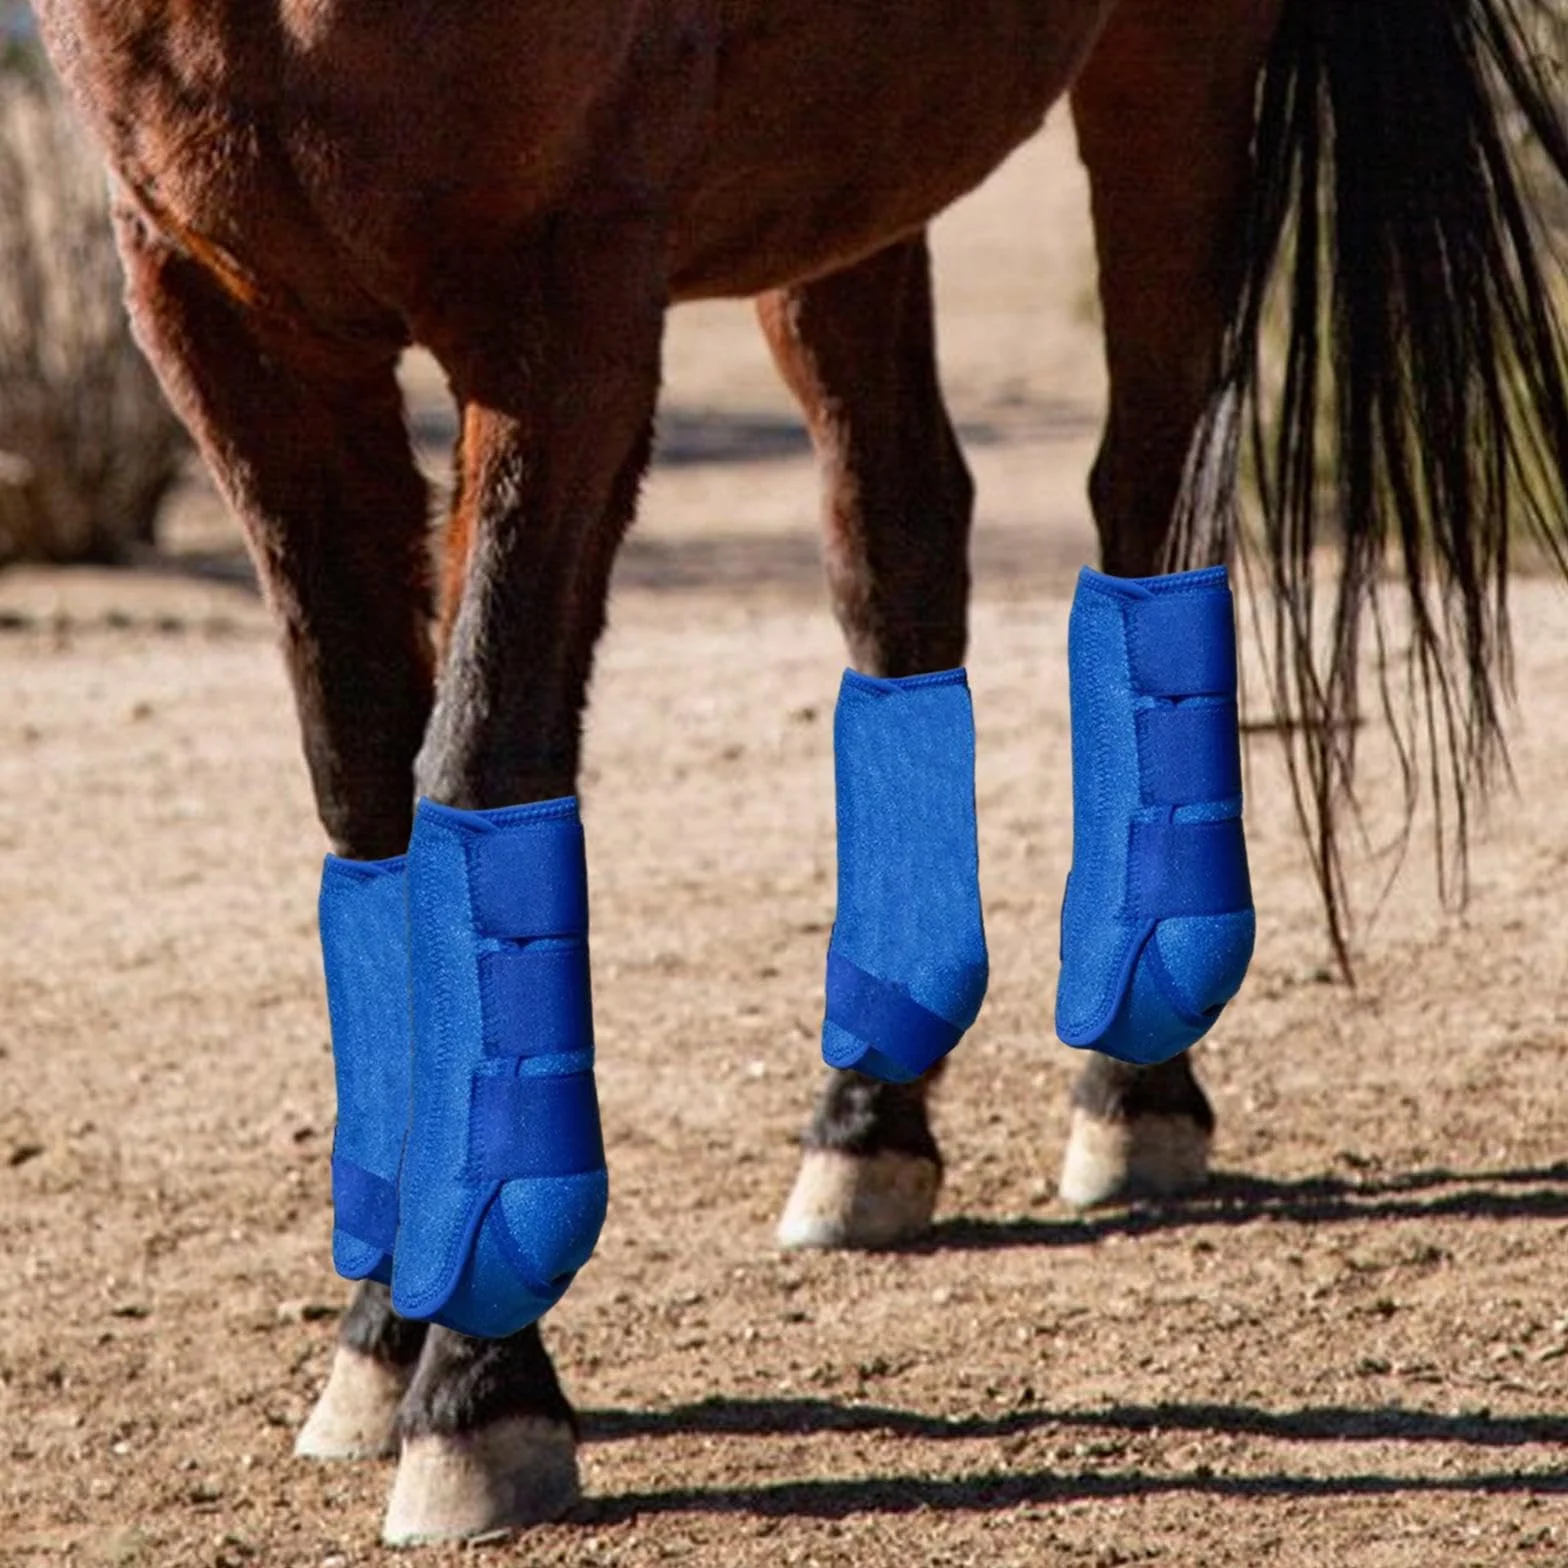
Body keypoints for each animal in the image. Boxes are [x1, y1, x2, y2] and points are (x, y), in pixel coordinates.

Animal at [29, 0, 1568, 1545]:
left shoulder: (562, 311)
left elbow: (475, 761)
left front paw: (478, 1384)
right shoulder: (222, 312)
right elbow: (363, 782)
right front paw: (383, 1330)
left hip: (1172, 74)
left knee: (1150, 494)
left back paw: (1133, 1084)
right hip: (851, 179)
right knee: (901, 532)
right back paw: (866, 1119)